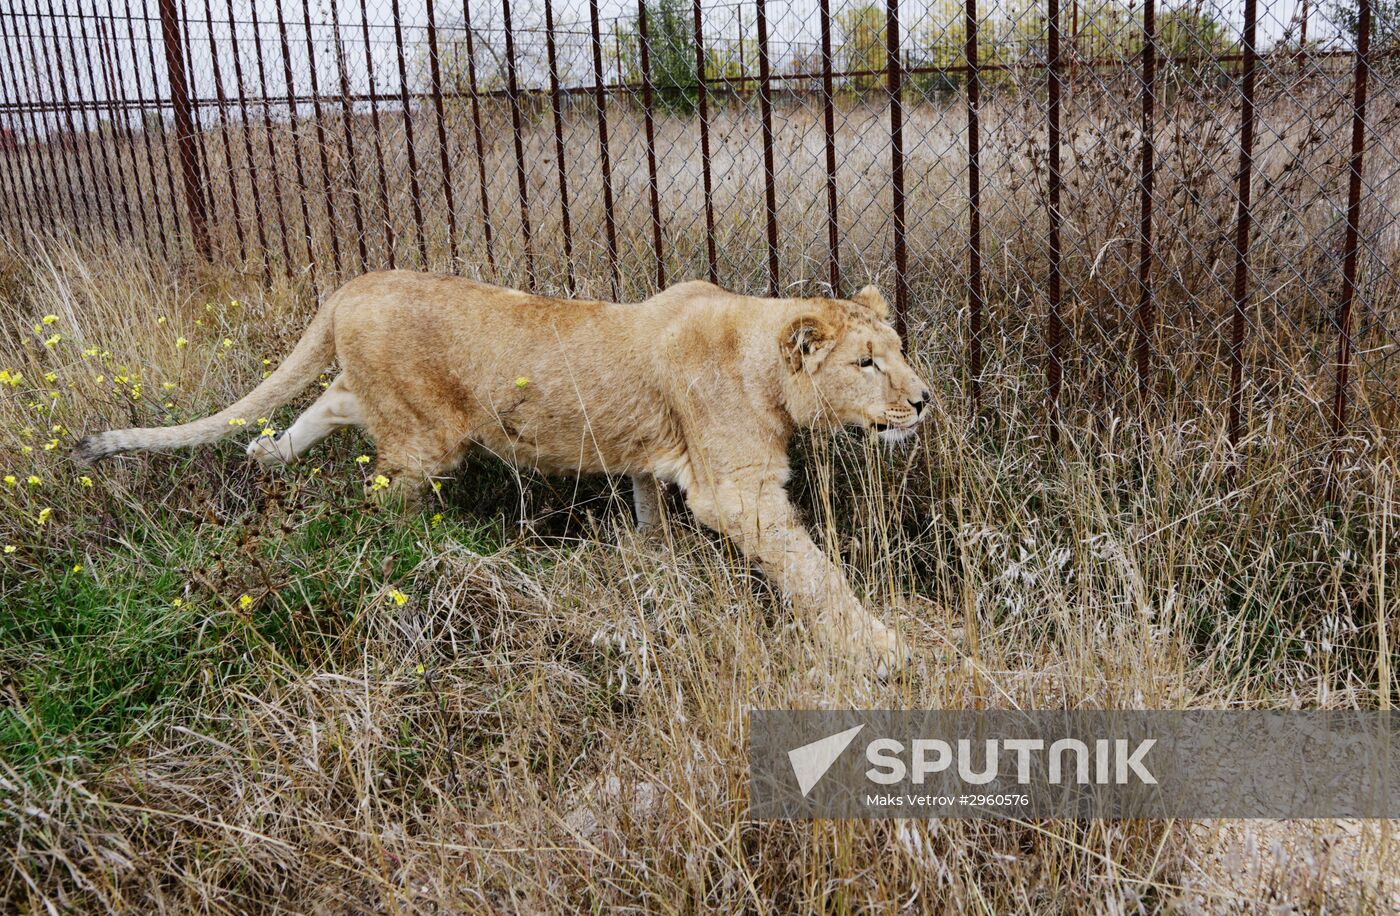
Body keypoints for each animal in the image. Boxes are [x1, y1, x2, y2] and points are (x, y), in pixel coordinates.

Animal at [75, 273, 931, 674]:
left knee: (333, 400)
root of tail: (356, 284)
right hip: (427, 442)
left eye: (898, 350)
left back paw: (266, 457)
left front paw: (656, 564)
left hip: (391, 412)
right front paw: (882, 649)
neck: (762, 357)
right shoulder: (738, 493)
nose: (923, 401)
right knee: (380, 486)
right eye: (866, 363)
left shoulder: (657, 460)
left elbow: (650, 509)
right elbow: (814, 572)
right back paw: (409, 549)